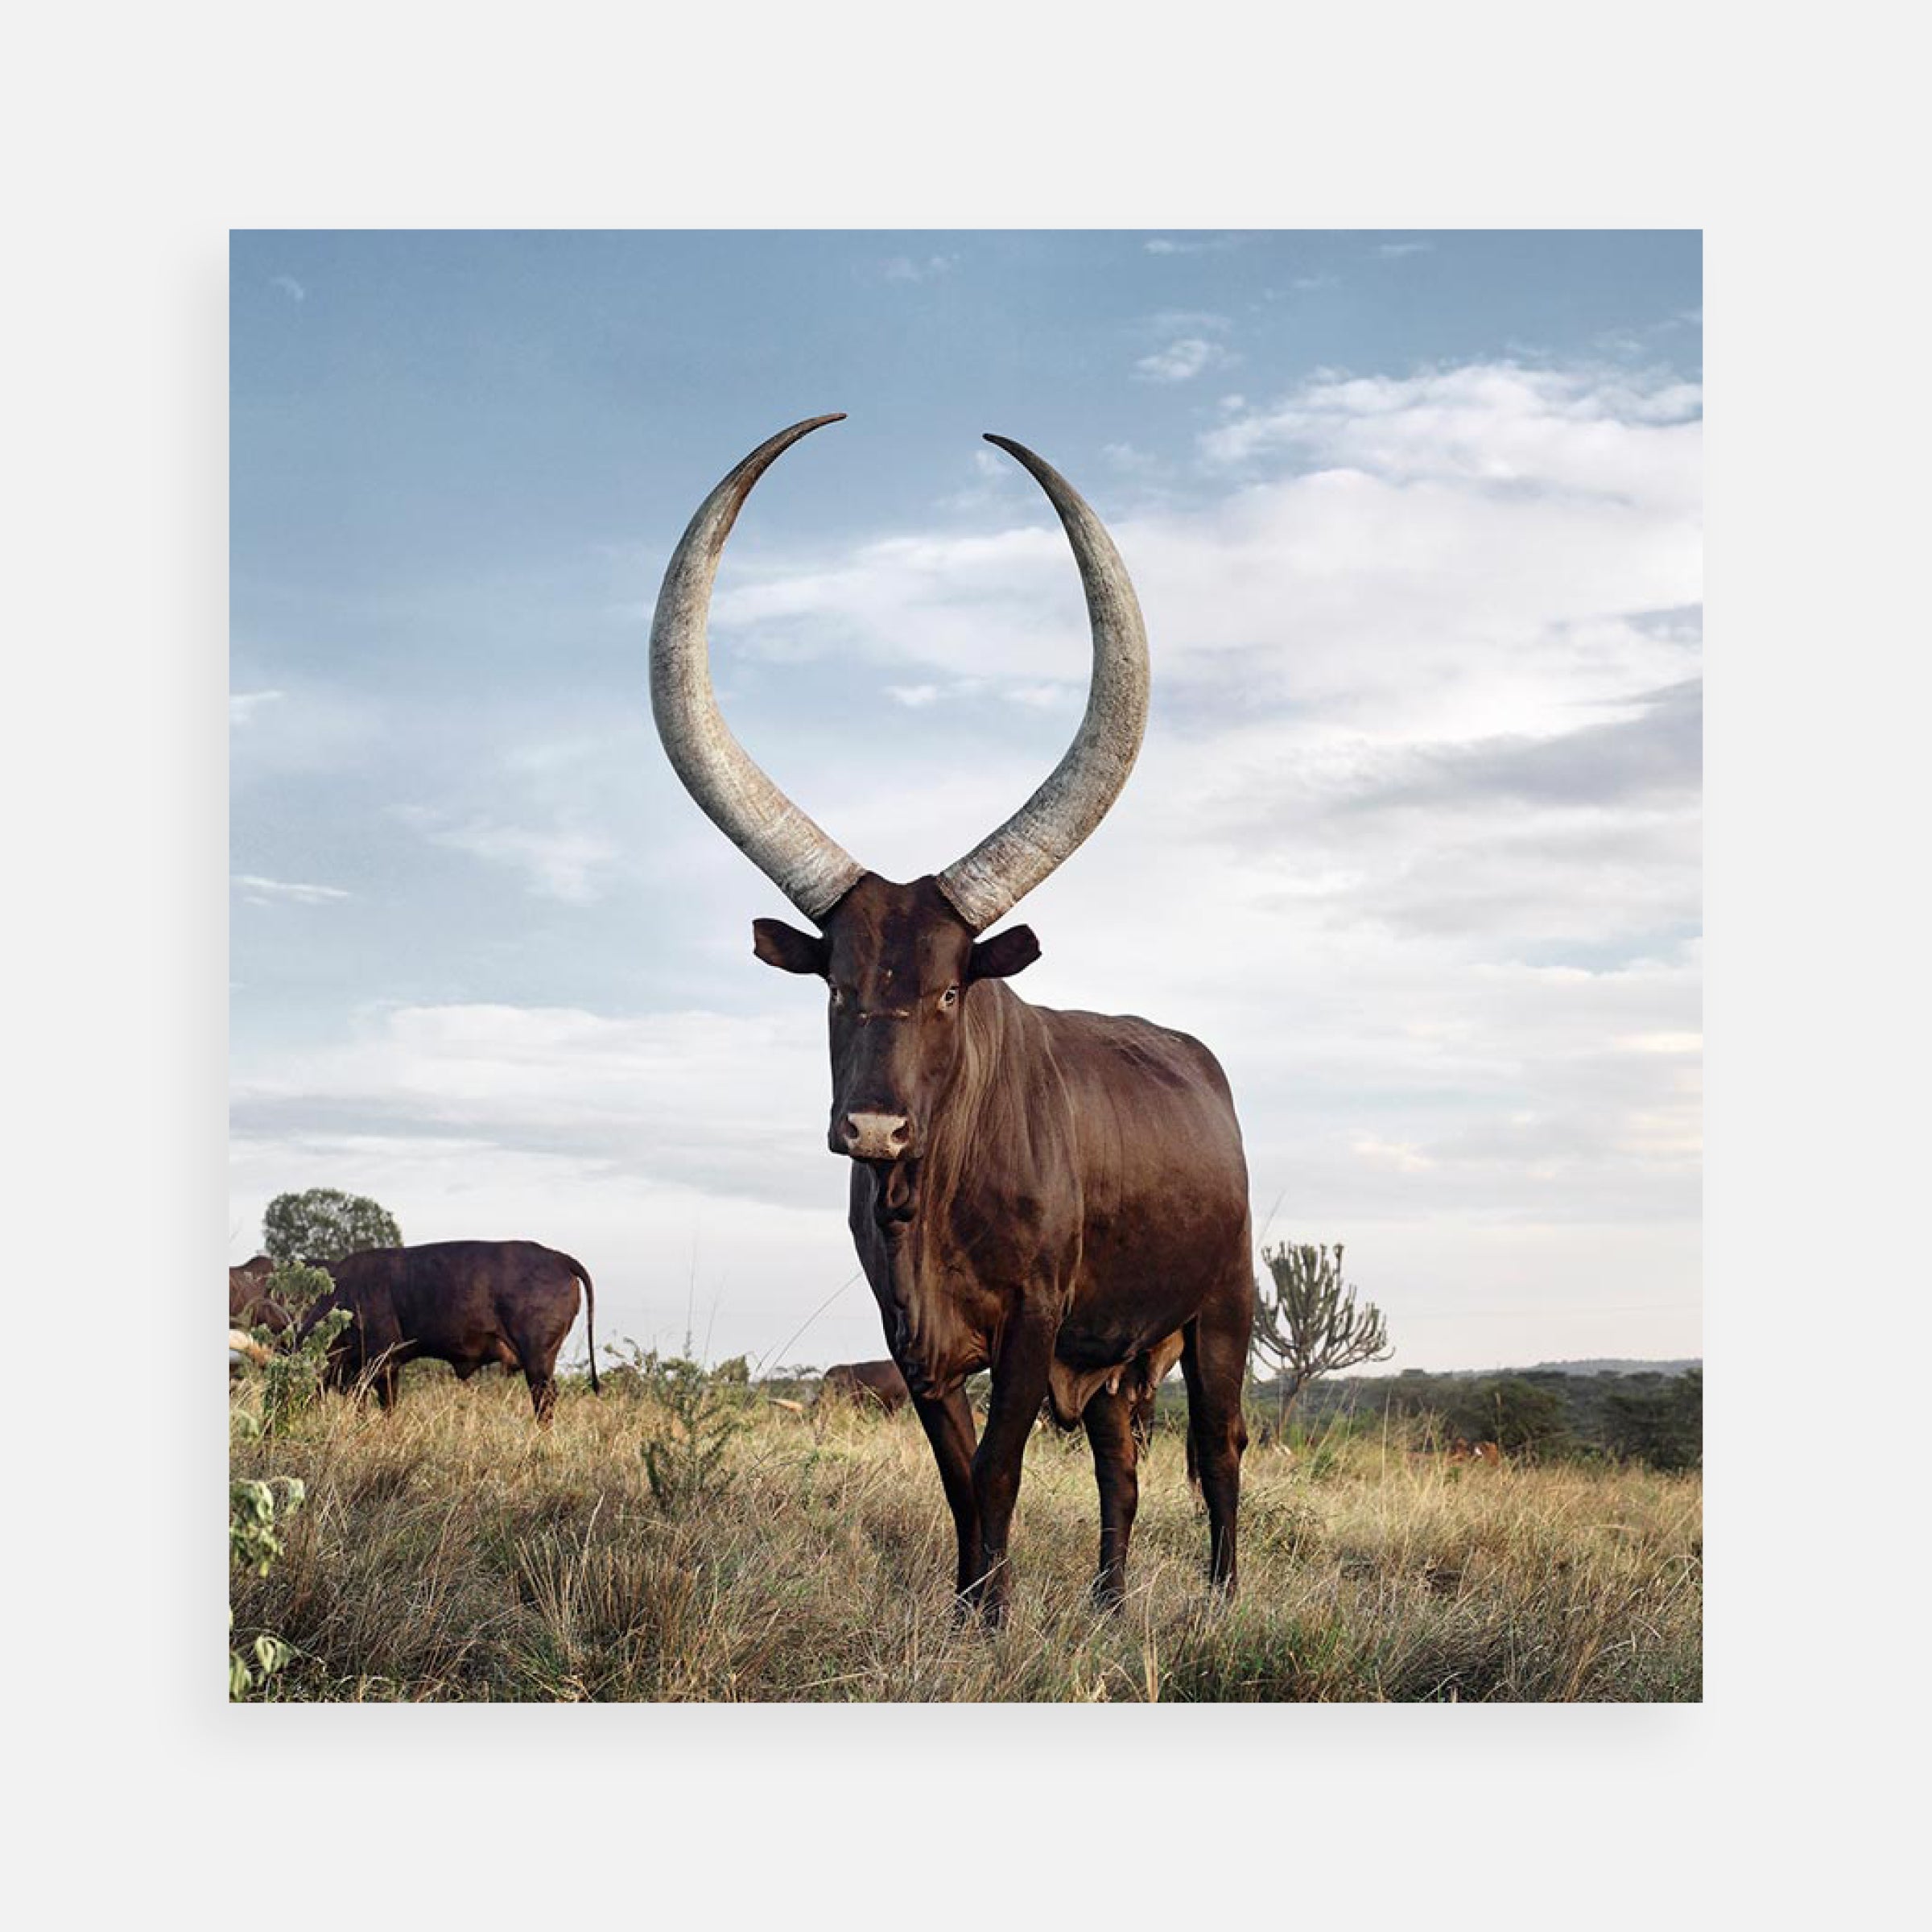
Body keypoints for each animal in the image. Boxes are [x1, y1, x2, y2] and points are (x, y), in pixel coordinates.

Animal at [649, 416, 1252, 1621]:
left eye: (944, 991)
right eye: (836, 986)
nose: (874, 1130)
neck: (931, 1196)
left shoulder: (1033, 1321)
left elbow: (1005, 1469)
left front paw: (992, 1622)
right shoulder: (912, 1337)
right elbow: (962, 1482)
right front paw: (978, 1605)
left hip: (1225, 1313)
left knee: (1218, 1455)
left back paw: (1217, 1601)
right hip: (1114, 1354)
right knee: (1121, 1462)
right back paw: (1109, 1604)